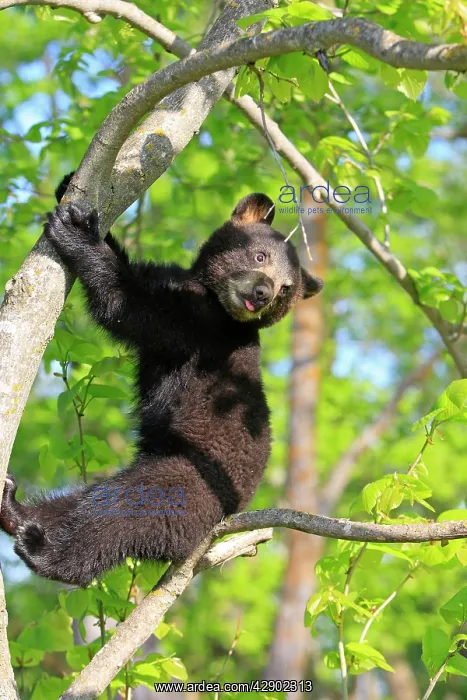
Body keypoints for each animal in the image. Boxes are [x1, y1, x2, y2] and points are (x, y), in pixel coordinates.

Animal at [0, 182, 323, 586]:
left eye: (285, 289)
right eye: (260, 255)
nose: (263, 292)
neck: (207, 292)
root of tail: (218, 531)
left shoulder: (203, 330)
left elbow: (128, 304)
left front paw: (76, 233)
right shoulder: (173, 283)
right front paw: (72, 190)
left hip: (189, 485)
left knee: (126, 510)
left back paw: (45, 553)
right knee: (79, 502)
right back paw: (16, 512)